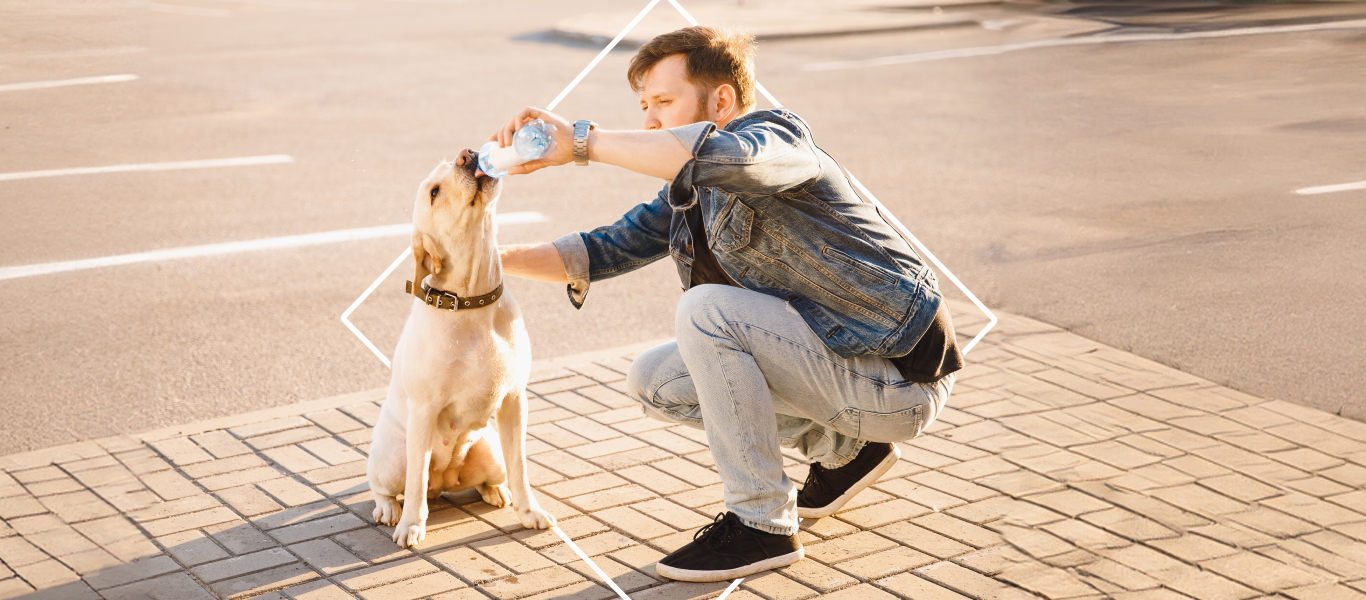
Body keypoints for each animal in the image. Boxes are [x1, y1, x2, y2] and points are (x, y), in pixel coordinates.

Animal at [371, 148, 557, 546]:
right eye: (434, 192)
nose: (467, 154)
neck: (473, 302)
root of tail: (443, 483)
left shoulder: (515, 401)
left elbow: (521, 467)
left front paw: (529, 511)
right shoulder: (424, 410)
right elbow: (414, 485)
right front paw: (411, 525)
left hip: (489, 451)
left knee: (489, 475)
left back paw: (496, 491)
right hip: (393, 458)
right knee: (391, 486)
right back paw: (389, 509)